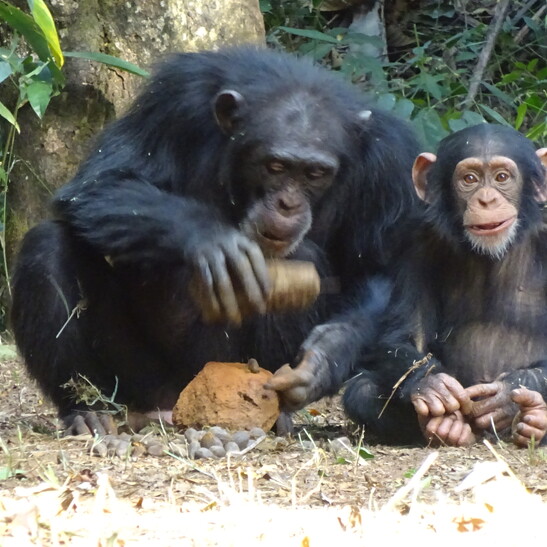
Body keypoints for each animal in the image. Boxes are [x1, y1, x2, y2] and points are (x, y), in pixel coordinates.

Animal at [10, 46, 418, 436]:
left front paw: (323, 359)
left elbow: (378, 270)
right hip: (137, 380)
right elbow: (101, 182)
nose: (287, 204)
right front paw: (212, 241)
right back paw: (86, 410)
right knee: (47, 246)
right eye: (275, 166)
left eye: (315, 173)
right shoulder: (174, 100)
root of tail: (175, 404)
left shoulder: (388, 160)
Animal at [344, 125, 547, 450]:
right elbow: (405, 334)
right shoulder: (416, 240)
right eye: (470, 179)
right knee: (360, 390)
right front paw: (431, 383)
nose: (486, 200)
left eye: (502, 177)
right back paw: (444, 427)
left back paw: (533, 418)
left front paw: (507, 394)